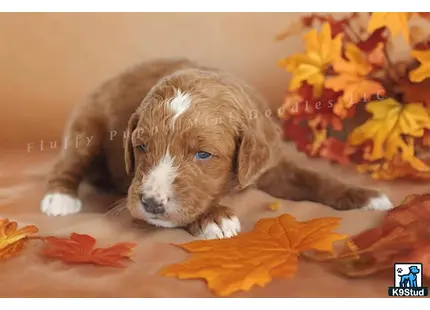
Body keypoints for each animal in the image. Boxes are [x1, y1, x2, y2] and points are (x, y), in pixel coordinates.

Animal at [40, 58, 394, 239]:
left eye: (203, 154)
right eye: (141, 147)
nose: (150, 203)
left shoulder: (270, 163)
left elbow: (313, 179)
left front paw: (366, 196)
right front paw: (215, 218)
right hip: (86, 127)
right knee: (69, 163)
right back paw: (59, 198)